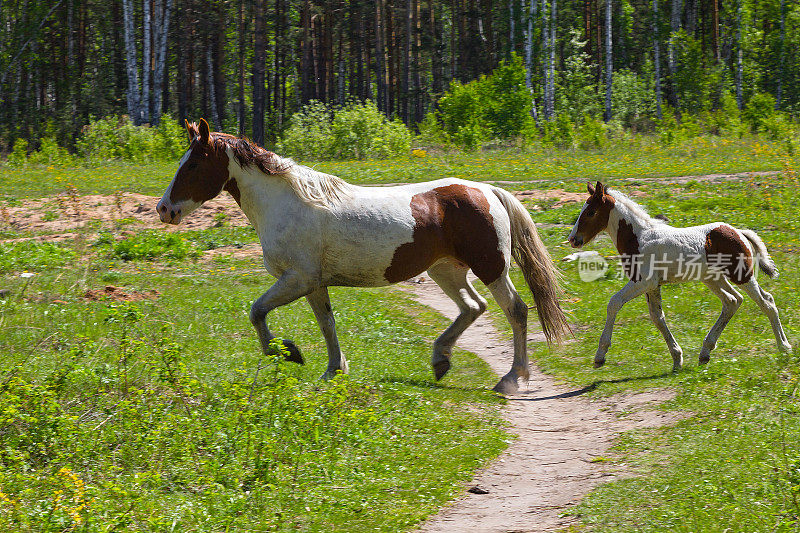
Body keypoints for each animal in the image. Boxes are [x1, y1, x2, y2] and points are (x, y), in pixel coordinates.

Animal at [156, 121, 568, 394]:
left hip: (491, 267)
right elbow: (327, 324)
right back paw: (440, 361)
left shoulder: (297, 279)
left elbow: (257, 312)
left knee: (515, 310)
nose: (164, 210)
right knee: (473, 307)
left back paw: (512, 379)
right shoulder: (313, 284)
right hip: (446, 271)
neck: (287, 204)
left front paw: (289, 353)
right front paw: (332, 370)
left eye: (192, 165)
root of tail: (488, 190)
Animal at [564, 181, 792, 368]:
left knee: (767, 301)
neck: (639, 238)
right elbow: (657, 317)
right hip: (713, 279)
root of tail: (739, 232)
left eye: (591, 212)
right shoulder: (653, 286)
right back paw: (705, 352)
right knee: (732, 301)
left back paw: (784, 347)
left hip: (741, 274)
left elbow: (614, 303)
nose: (573, 239)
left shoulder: (642, 282)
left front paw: (600, 355)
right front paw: (677, 358)